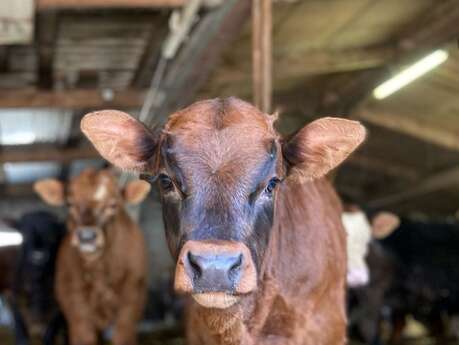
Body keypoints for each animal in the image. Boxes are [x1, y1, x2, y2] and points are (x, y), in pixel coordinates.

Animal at [36, 169, 151, 344]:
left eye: (113, 205)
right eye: (70, 204)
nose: (87, 236)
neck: (100, 272)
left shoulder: (131, 302)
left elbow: (122, 336)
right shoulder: (75, 304)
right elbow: (84, 337)